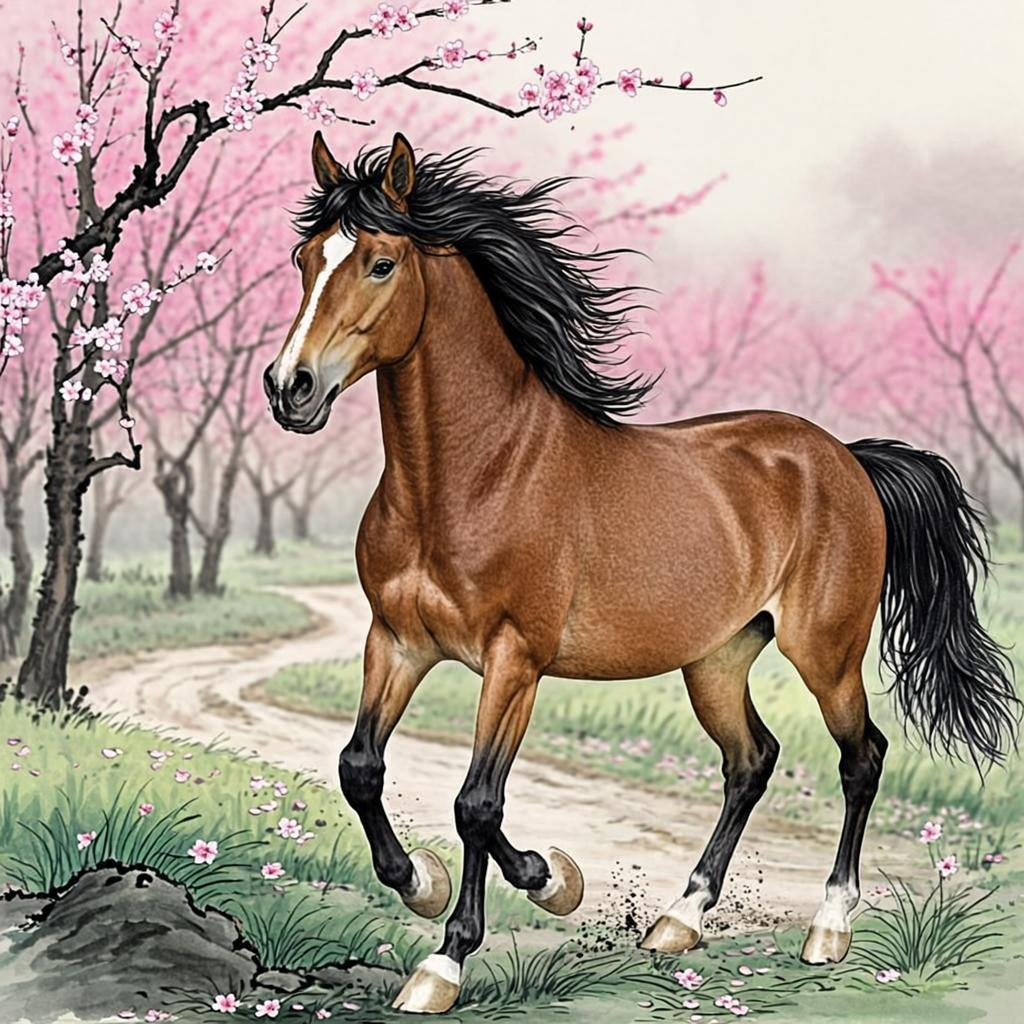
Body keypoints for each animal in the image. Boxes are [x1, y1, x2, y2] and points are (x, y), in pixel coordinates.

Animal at [263, 131, 1019, 1014]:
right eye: (304, 257)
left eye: (381, 262)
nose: (290, 388)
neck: (477, 473)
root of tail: (847, 458)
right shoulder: (396, 642)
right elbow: (360, 769)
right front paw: (439, 881)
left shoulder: (514, 661)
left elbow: (476, 802)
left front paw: (459, 952)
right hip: (717, 660)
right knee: (750, 761)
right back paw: (678, 921)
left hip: (825, 651)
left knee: (860, 757)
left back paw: (827, 929)